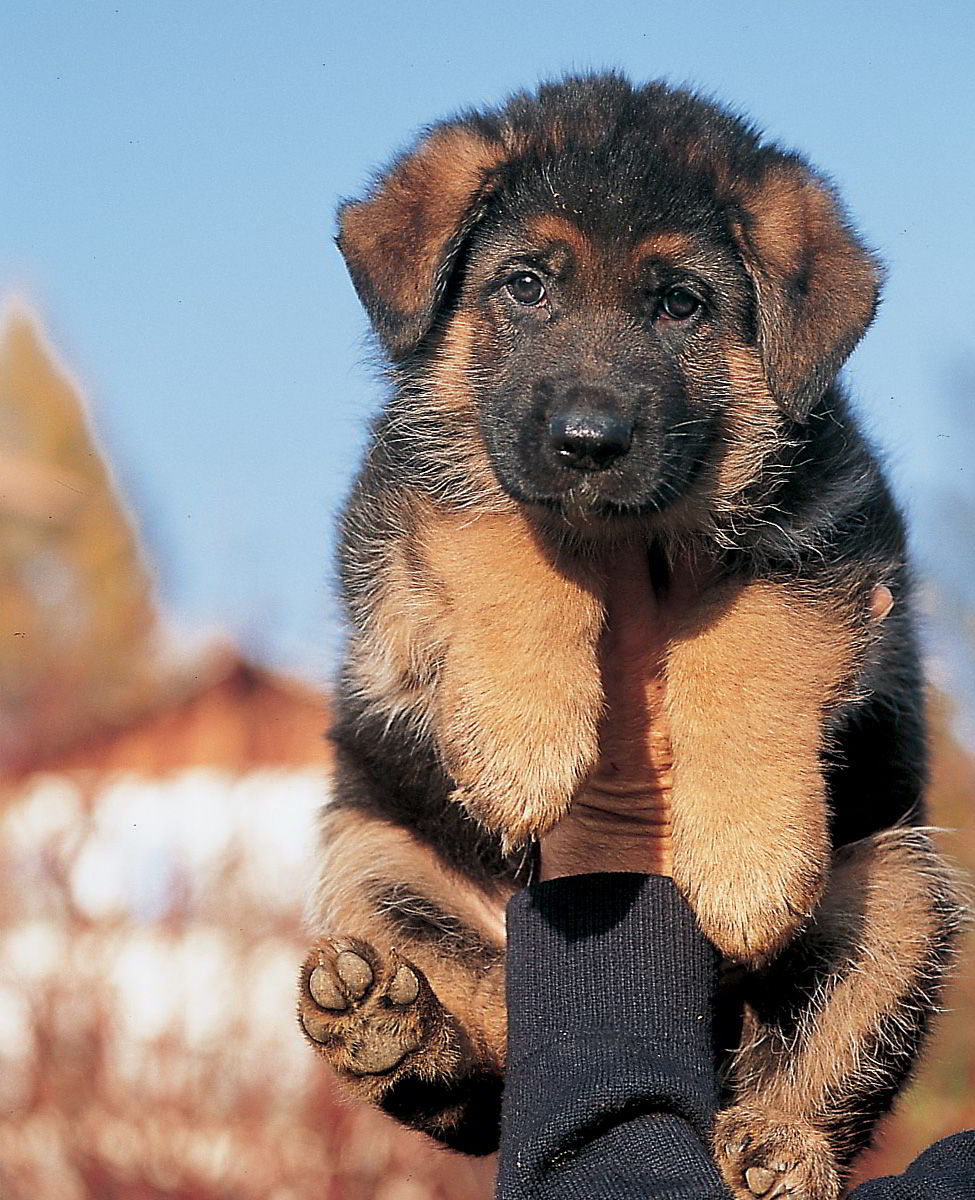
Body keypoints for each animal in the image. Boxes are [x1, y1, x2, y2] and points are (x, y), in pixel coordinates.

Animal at [295, 77, 960, 1200]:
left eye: (679, 305)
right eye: (525, 287)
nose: (587, 442)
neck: (631, 528)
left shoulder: (831, 536)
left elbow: (750, 641)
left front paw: (746, 859)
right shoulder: (408, 514)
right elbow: (503, 534)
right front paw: (519, 743)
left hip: (900, 886)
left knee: (814, 1060)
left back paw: (777, 1147)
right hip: (380, 862)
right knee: (488, 1058)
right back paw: (390, 1024)